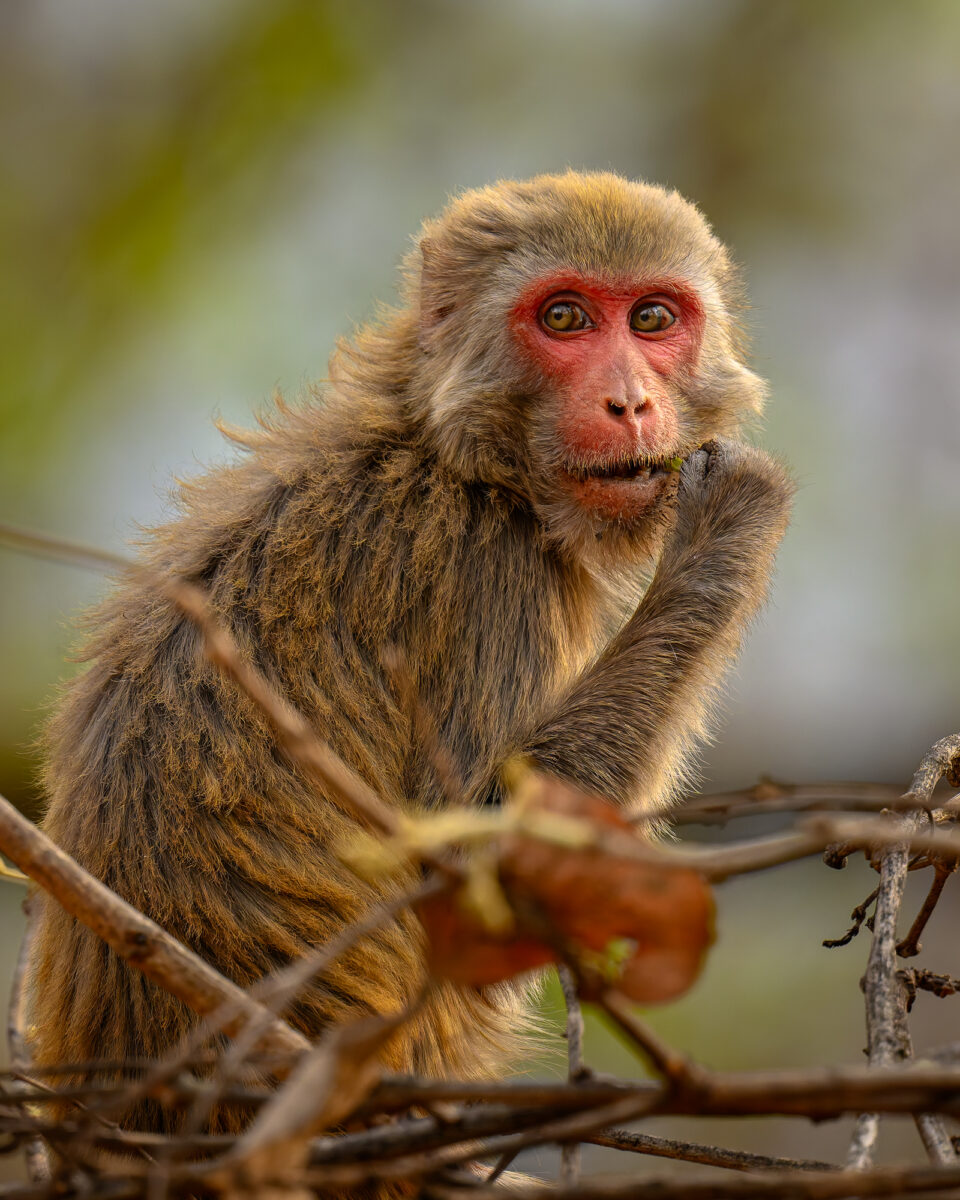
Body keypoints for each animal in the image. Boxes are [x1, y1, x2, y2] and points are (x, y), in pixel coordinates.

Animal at [28, 171, 792, 1133]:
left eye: (652, 320)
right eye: (566, 318)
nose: (630, 403)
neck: (453, 454)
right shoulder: (483, 576)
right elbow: (478, 881)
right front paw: (727, 529)